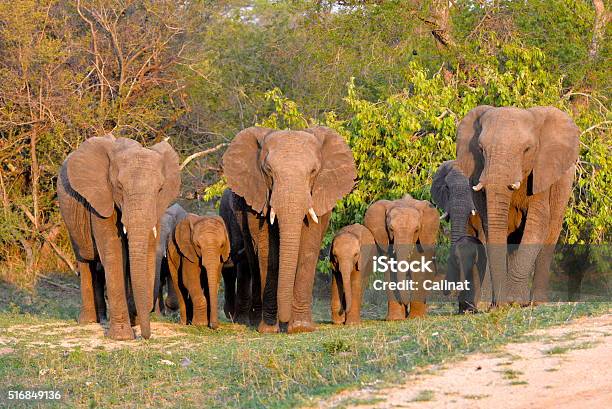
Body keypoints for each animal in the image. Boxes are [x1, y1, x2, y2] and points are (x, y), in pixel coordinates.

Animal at [57, 134, 180, 338]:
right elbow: (114, 255)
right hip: (71, 220)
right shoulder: (101, 200)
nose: (145, 337)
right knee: (86, 261)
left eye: (160, 189)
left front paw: (134, 321)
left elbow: (147, 254)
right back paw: (89, 321)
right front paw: (122, 336)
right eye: (120, 187)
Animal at [222, 126, 356, 334]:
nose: (285, 321)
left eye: (313, 171)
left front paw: (300, 328)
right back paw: (254, 322)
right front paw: (269, 329)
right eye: (268, 171)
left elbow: (308, 248)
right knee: (251, 259)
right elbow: (268, 254)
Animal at [454, 105, 580, 302]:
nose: (498, 304)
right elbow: (488, 224)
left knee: (550, 233)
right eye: (481, 149)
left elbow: (538, 223)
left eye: (527, 149)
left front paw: (514, 301)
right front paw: (490, 303)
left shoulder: (542, 172)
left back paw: (536, 302)